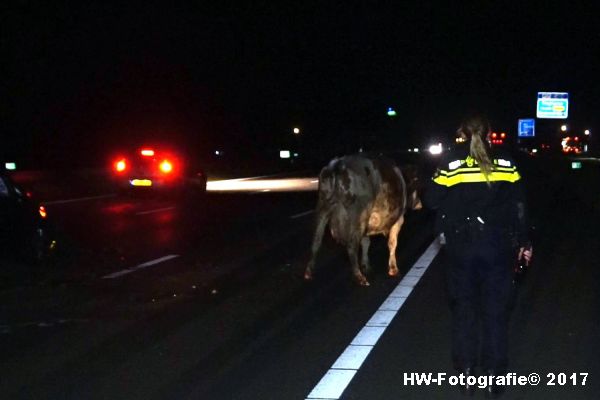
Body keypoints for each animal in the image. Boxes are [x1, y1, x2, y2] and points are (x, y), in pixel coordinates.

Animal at [304, 155, 422, 286]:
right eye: (416, 181)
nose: (419, 204)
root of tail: (338, 164)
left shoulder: (367, 227)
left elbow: (366, 242)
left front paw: (366, 265)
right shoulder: (398, 220)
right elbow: (392, 243)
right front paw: (393, 269)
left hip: (323, 207)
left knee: (316, 241)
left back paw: (308, 273)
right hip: (359, 214)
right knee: (351, 246)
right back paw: (360, 277)